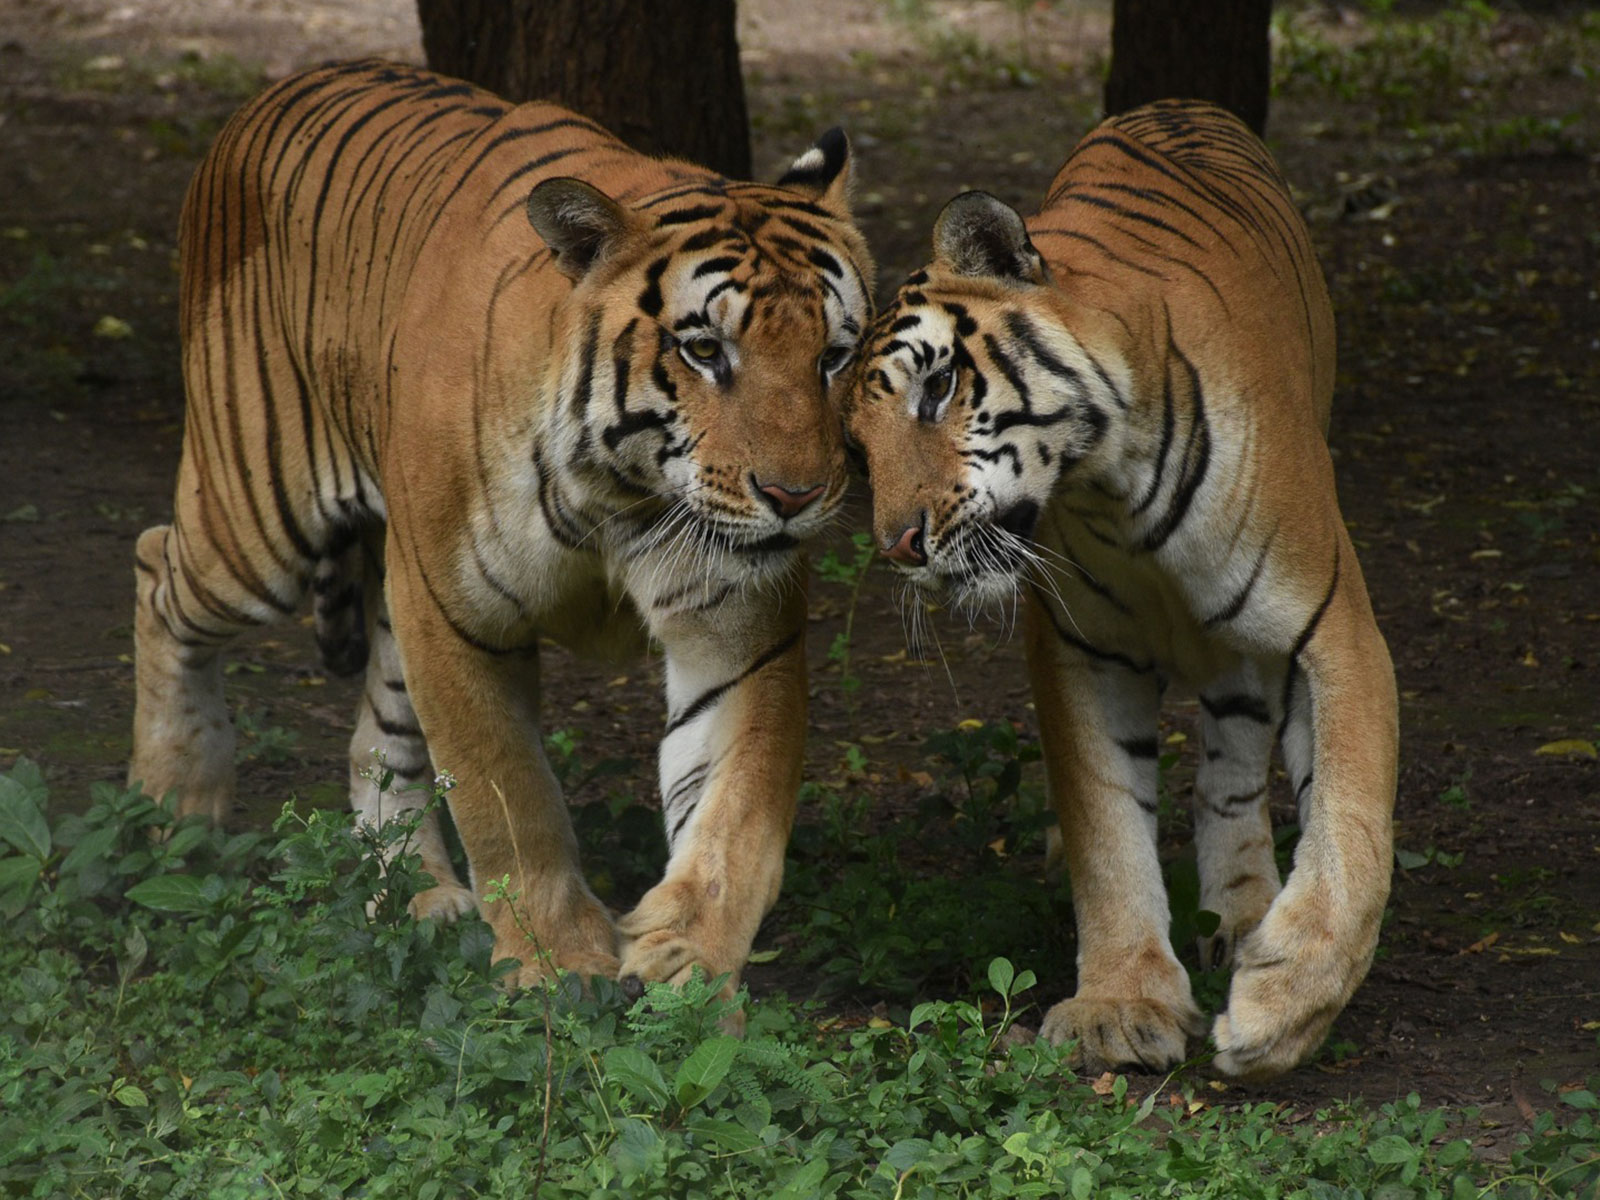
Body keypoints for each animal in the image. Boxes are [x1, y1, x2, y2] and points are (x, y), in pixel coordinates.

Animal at [127, 58, 874, 998]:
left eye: (833, 355)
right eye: (705, 351)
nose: (795, 495)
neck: (624, 492)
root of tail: (276, 88)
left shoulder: (738, 631)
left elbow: (737, 810)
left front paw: (687, 963)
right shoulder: (455, 612)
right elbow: (507, 795)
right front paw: (559, 967)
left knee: (377, 735)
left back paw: (417, 898)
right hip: (260, 519)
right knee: (157, 569)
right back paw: (174, 811)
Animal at [845, 100, 1397, 1079]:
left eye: (938, 387)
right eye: (856, 449)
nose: (899, 545)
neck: (1109, 486)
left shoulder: (1331, 626)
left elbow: (1350, 823)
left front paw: (1282, 1009)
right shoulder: (1080, 651)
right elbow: (1107, 827)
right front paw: (1122, 1005)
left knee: (1232, 771)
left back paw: (1244, 916)